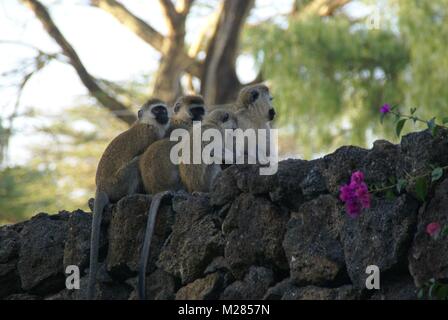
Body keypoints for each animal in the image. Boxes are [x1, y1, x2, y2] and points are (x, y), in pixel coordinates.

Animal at [87, 98, 170, 300]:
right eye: (157, 110)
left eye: (163, 109)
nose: (165, 115)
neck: (147, 123)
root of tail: (101, 186)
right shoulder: (151, 135)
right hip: (118, 182)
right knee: (136, 161)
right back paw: (132, 195)